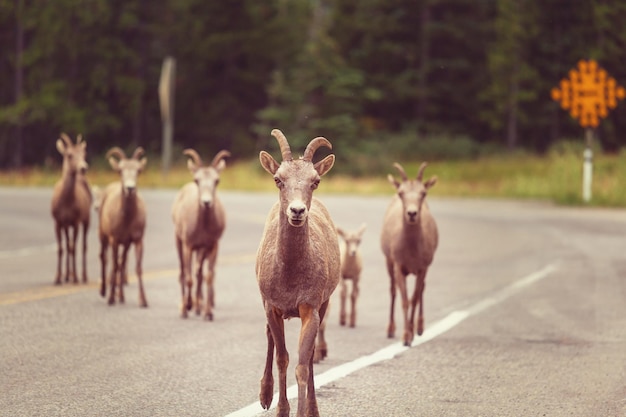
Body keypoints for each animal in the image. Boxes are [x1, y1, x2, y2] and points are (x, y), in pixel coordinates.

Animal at [50, 132, 92, 284]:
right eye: (69, 155)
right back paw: (67, 275)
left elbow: (74, 248)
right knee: (68, 245)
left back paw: (83, 276)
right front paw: (57, 278)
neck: (66, 203)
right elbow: (61, 248)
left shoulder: (76, 221)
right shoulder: (58, 221)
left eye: (84, 153)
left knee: (83, 246)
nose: (83, 167)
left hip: (86, 220)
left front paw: (75, 277)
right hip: (66, 225)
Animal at [98, 146, 148, 306]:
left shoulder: (136, 240)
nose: (130, 188)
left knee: (122, 262)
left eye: (138, 170)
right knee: (104, 258)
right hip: (103, 236)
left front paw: (143, 301)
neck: (126, 219)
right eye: (120, 170)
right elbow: (114, 266)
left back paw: (121, 296)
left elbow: (138, 268)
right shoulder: (114, 239)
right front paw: (111, 299)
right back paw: (103, 291)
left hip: (125, 245)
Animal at [171, 148, 229, 320]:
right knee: (183, 272)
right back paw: (186, 307)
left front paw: (208, 313)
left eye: (217, 180)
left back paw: (198, 307)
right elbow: (188, 277)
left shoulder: (212, 246)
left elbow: (208, 276)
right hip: (179, 241)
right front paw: (186, 308)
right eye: (197, 180)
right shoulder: (188, 245)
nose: (206, 202)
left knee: (199, 273)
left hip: (201, 250)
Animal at [256, 128, 338, 416]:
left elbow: (303, 365)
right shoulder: (273, 307)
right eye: (278, 179)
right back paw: (264, 396)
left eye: (315, 181)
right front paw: (280, 409)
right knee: (269, 340)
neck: (290, 275)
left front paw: (306, 411)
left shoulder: (310, 309)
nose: (297, 210)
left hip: (325, 303)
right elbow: (282, 358)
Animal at [378, 161, 436, 346]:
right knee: (393, 290)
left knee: (422, 290)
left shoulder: (423, 267)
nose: (411, 214)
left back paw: (419, 328)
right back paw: (390, 330)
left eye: (423, 193)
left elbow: (414, 298)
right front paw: (405, 336)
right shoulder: (398, 266)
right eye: (401, 193)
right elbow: (404, 300)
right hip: (388, 263)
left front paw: (411, 333)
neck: (411, 250)